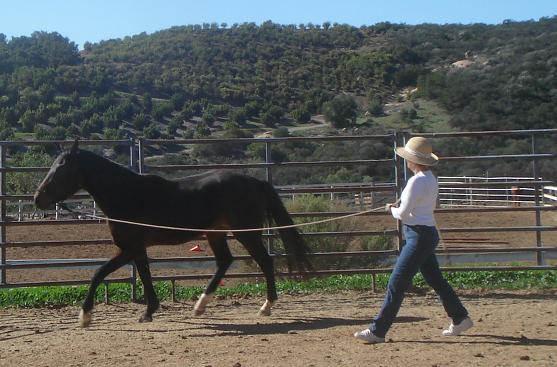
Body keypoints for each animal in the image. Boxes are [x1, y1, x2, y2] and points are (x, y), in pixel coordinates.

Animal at [34, 142, 312, 328]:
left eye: (61, 169)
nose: (38, 199)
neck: (128, 194)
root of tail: (256, 182)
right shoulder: (136, 249)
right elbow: (143, 275)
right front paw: (148, 312)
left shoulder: (130, 248)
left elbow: (99, 273)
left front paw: (85, 316)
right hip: (216, 233)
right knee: (225, 261)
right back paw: (200, 306)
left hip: (247, 233)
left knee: (264, 261)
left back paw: (266, 307)